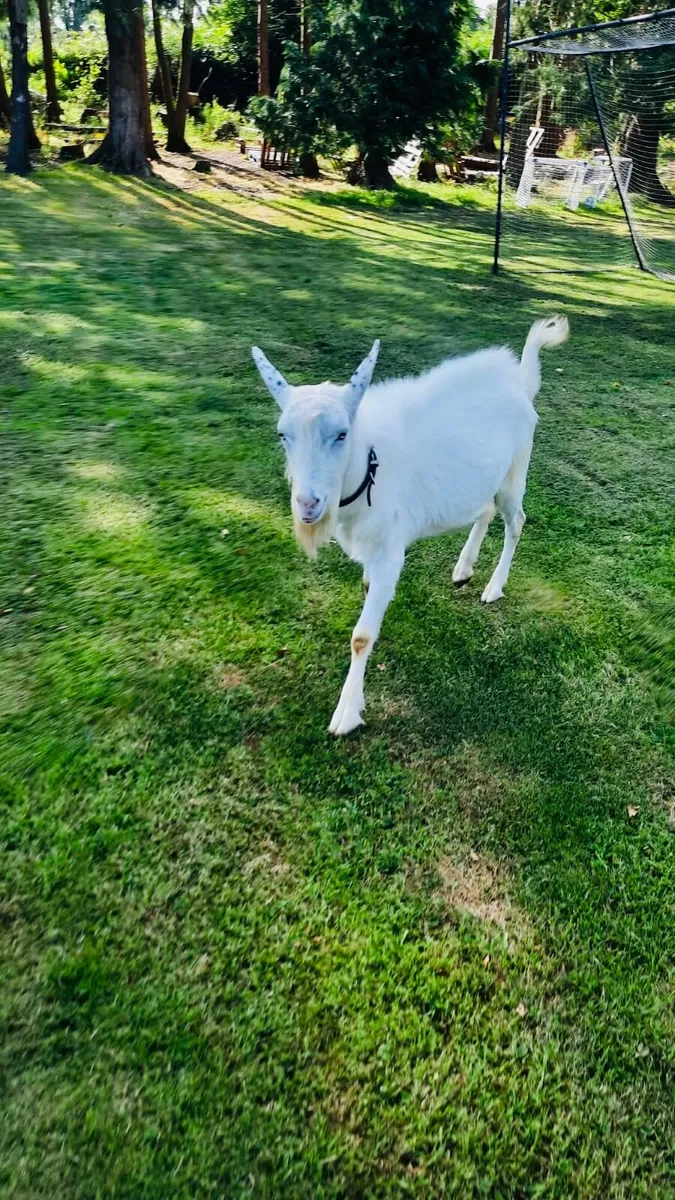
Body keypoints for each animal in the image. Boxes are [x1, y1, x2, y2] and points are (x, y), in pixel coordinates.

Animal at [252, 316, 569, 735]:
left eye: (341, 433)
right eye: (282, 435)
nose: (308, 504)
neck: (369, 466)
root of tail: (521, 381)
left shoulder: (390, 552)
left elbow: (360, 636)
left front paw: (347, 713)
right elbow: (368, 594)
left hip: (515, 472)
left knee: (516, 521)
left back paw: (493, 587)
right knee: (484, 509)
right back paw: (463, 569)